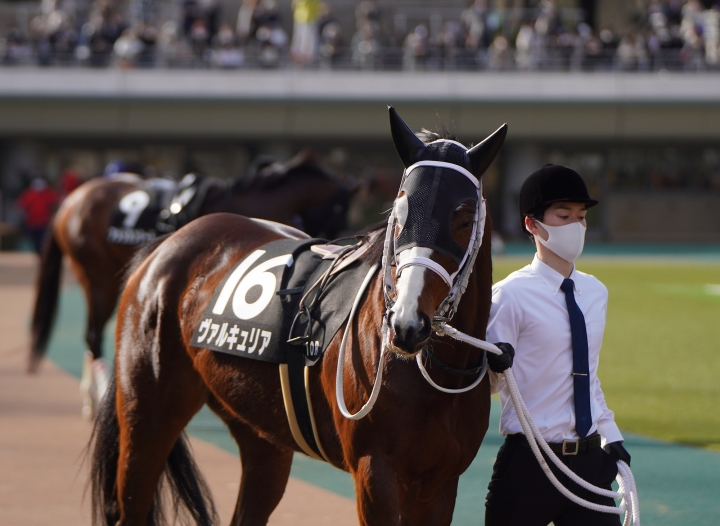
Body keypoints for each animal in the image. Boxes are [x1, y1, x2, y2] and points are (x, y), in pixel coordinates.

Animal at [90, 108, 506, 526]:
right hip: (147, 418)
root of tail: (166, 245)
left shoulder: (439, 485)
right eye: (398, 213)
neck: (434, 375)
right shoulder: (375, 473)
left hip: (261, 436)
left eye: (464, 220)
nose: (406, 324)